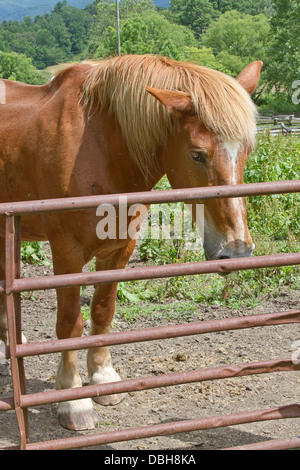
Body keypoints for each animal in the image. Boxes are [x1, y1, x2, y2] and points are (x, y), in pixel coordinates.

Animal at [0, 54, 262, 430]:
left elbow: (102, 311)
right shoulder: (66, 252)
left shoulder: (119, 248)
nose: (237, 249)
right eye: (197, 154)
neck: (100, 148)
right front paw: (73, 399)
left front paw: (103, 378)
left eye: (247, 150)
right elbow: (69, 323)